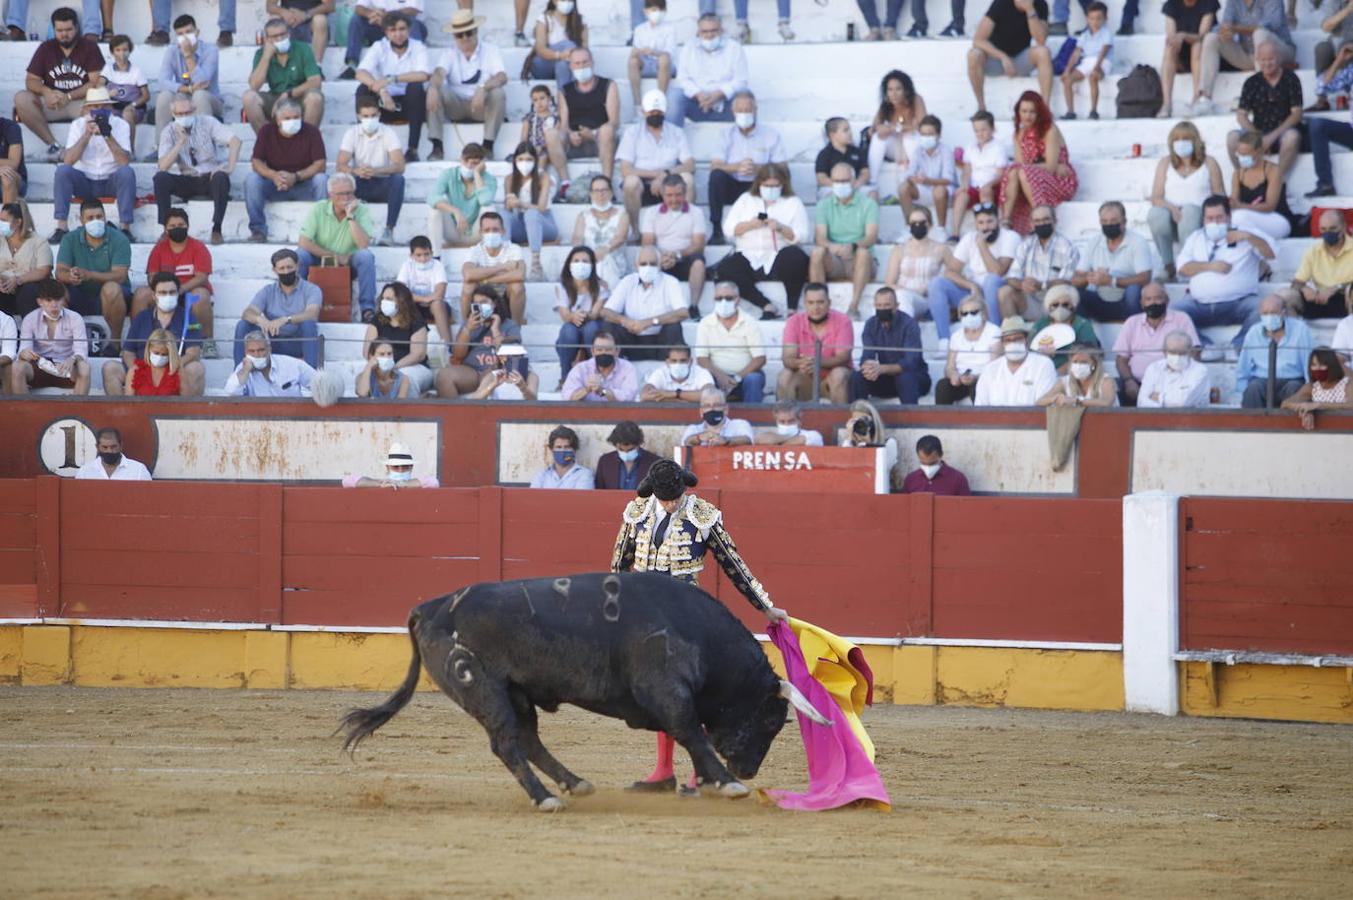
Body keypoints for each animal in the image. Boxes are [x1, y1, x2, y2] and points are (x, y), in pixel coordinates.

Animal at [338, 571, 828, 812]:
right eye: (771, 719)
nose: (747, 769)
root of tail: (430, 607)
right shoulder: (664, 688)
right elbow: (691, 730)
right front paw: (726, 784)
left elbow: (689, 733)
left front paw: (710, 781)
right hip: (482, 688)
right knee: (507, 744)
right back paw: (546, 798)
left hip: (517, 693)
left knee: (528, 740)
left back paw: (575, 783)